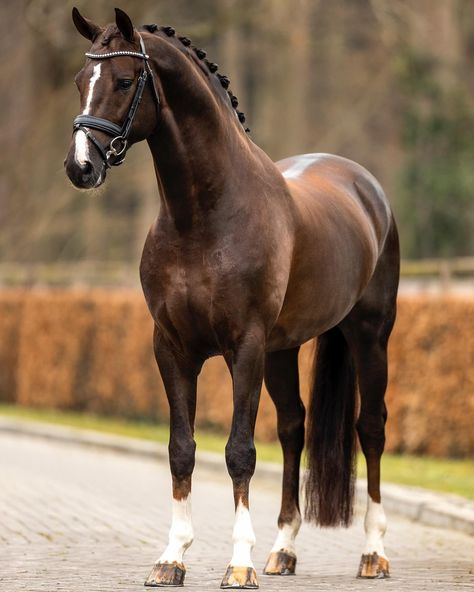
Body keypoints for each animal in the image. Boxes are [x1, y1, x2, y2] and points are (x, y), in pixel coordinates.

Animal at [64, 8, 400, 588]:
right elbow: (181, 450)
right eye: (82, 81)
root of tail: (365, 187)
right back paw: (283, 549)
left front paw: (238, 562)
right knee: (293, 428)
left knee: (371, 428)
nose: (80, 167)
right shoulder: (172, 349)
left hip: (368, 337)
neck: (204, 216)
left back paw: (372, 553)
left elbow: (240, 450)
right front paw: (172, 557)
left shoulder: (244, 347)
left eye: (125, 81)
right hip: (284, 350)